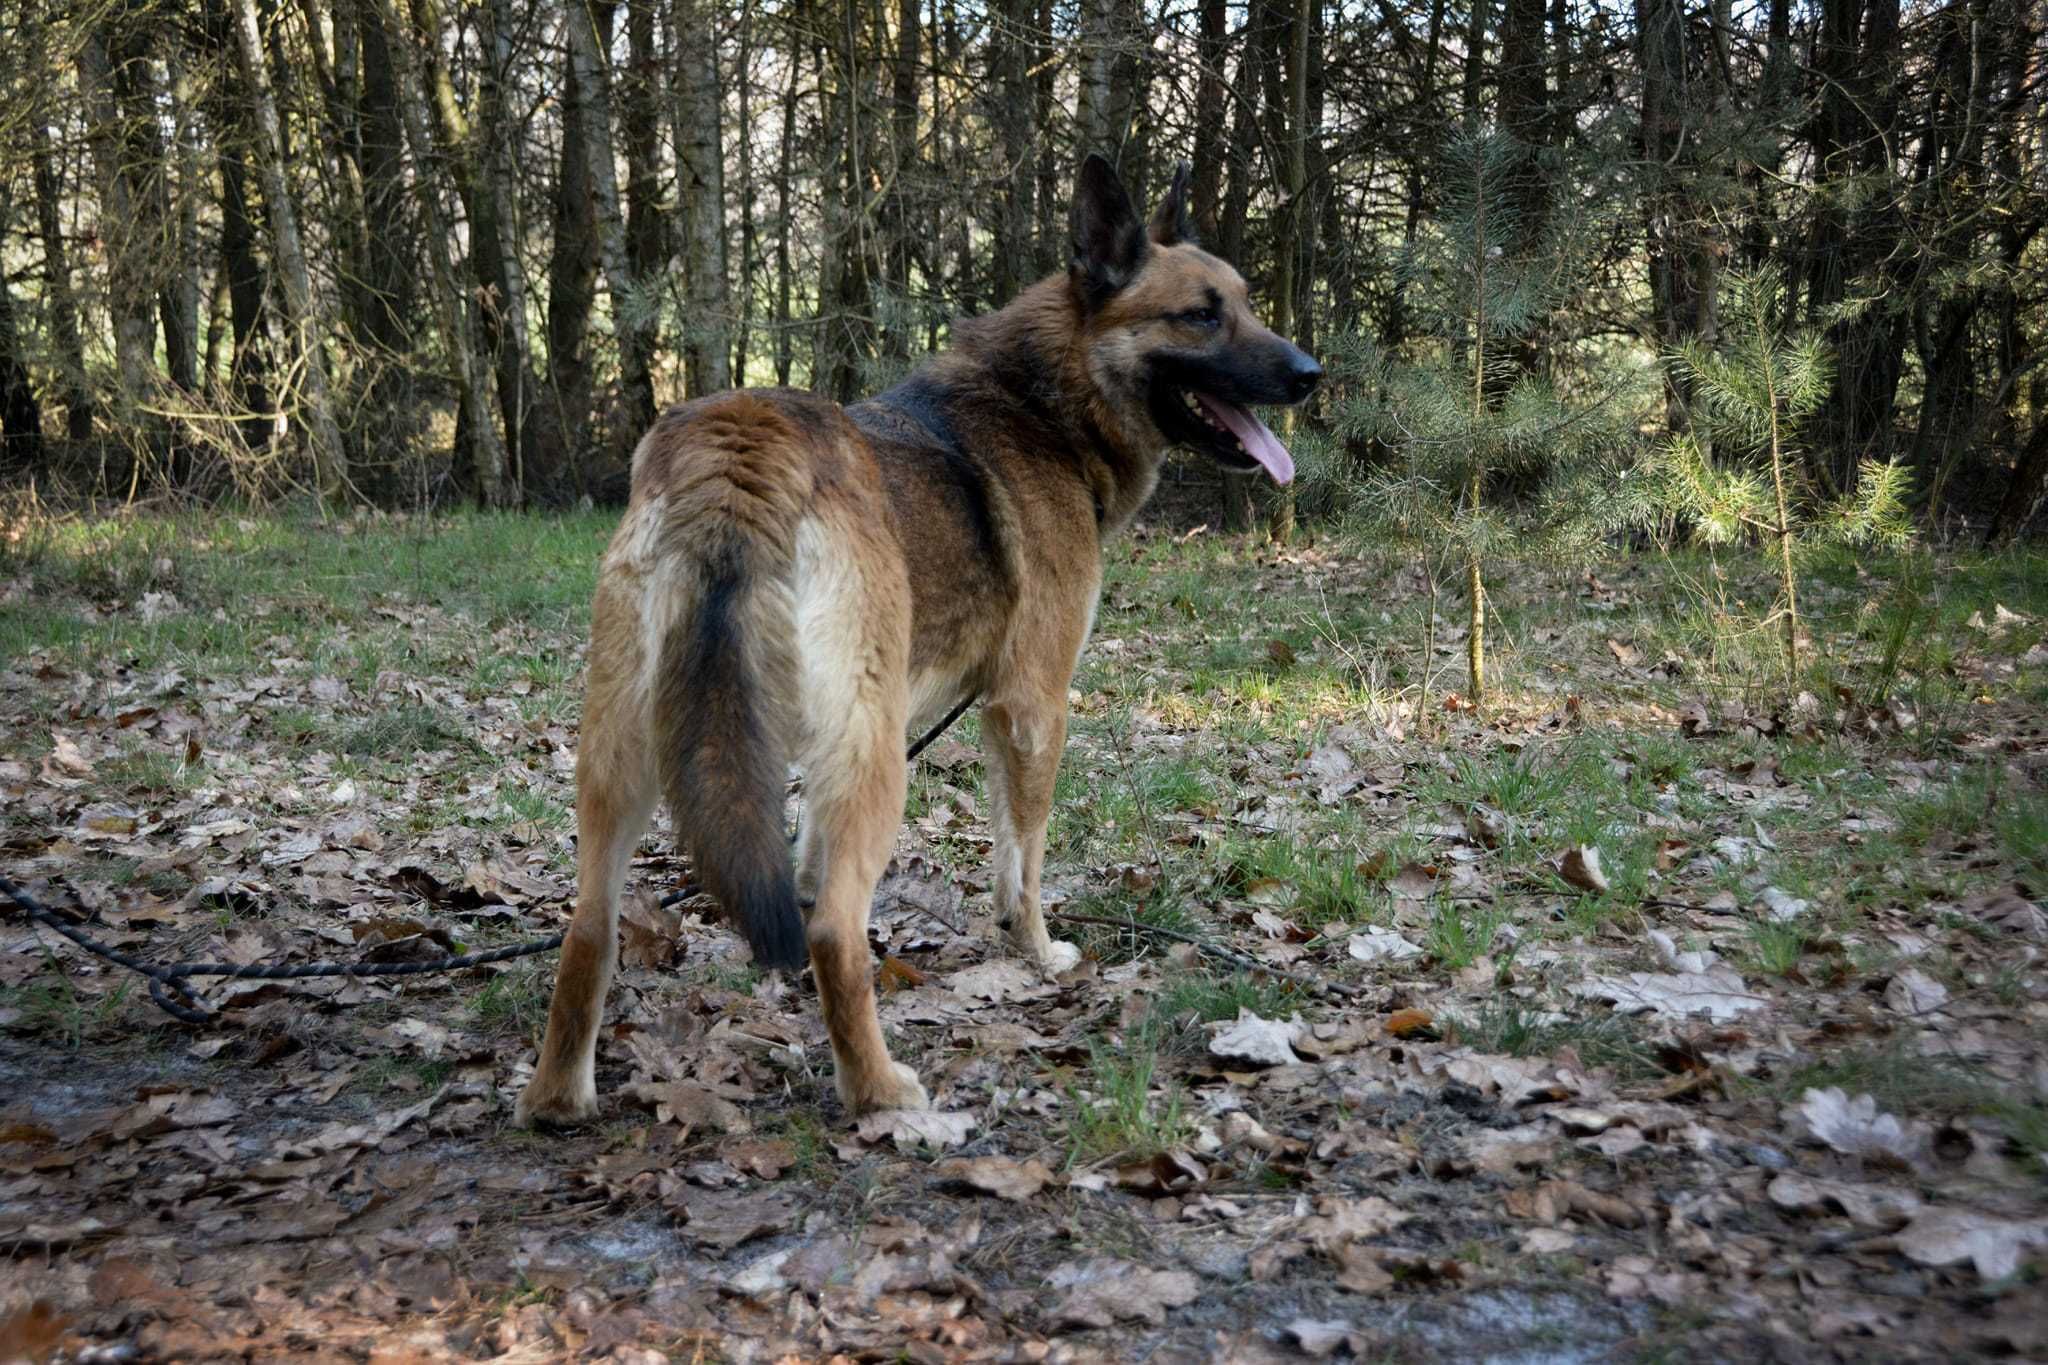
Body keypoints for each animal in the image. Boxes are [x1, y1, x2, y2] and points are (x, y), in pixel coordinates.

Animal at [520, 154, 1318, 1129]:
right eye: (1201, 314)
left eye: (1243, 301)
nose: (1311, 372)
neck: (1046, 405)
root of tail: (740, 446)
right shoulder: (1031, 707)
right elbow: (1023, 860)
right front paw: (1035, 951)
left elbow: (819, 862)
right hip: (873, 763)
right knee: (834, 930)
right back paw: (880, 1092)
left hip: (623, 760)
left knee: (589, 926)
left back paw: (559, 1097)